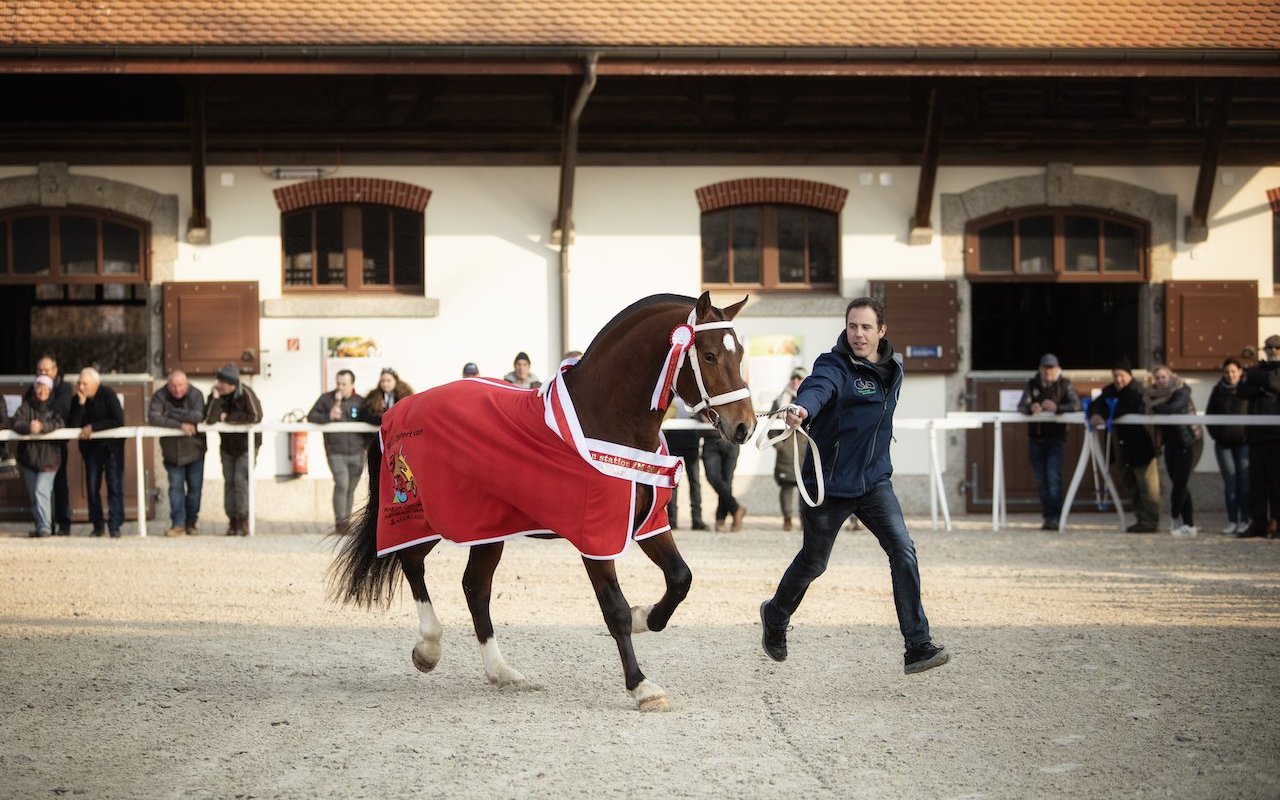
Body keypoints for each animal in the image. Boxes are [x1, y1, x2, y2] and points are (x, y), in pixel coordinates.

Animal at [325, 293, 752, 711]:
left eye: (741, 353)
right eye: (709, 355)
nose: (744, 426)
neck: (606, 419)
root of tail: (396, 411)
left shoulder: (648, 522)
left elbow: (680, 579)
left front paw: (645, 616)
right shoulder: (596, 537)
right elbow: (614, 609)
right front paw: (641, 686)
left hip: (486, 527)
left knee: (474, 588)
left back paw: (501, 671)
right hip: (428, 517)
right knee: (413, 562)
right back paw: (428, 648)